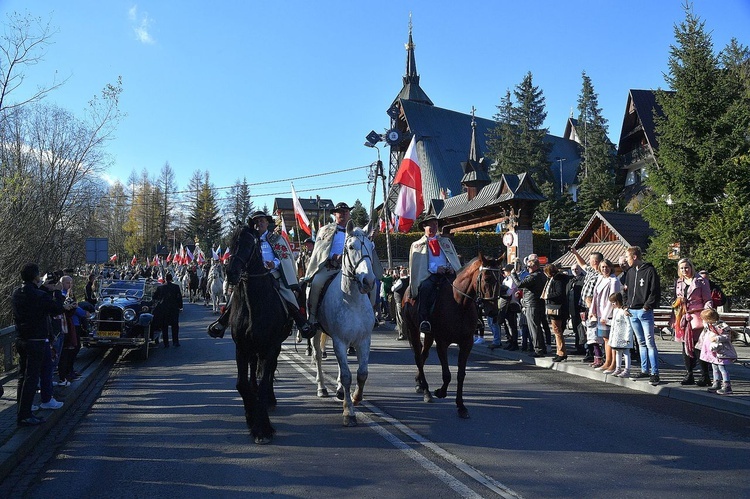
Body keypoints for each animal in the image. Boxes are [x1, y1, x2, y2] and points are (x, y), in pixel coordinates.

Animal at [225, 225, 292, 444]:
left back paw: (270, 400)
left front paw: (263, 428)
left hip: (273, 348)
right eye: (231, 243)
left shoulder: (270, 347)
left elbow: (264, 383)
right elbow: (241, 384)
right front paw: (250, 416)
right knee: (255, 371)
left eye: (249, 244)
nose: (231, 272)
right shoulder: (241, 348)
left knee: (268, 373)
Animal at [312, 221, 378, 428]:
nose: (368, 281)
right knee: (318, 356)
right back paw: (322, 388)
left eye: (371, 246)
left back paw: (340, 390)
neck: (352, 300)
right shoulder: (339, 341)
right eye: (350, 247)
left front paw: (356, 397)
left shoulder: (363, 340)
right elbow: (348, 376)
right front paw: (349, 412)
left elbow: (362, 373)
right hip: (317, 332)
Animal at [402, 252, 502, 420]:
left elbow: (461, 374)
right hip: (413, 329)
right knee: (418, 357)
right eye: (487, 279)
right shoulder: (442, 342)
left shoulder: (466, 343)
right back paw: (427, 391)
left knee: (423, 355)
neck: (459, 303)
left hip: (428, 335)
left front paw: (461, 406)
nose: (493, 312)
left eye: (501, 279)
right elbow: (447, 374)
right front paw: (440, 392)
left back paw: (419, 384)